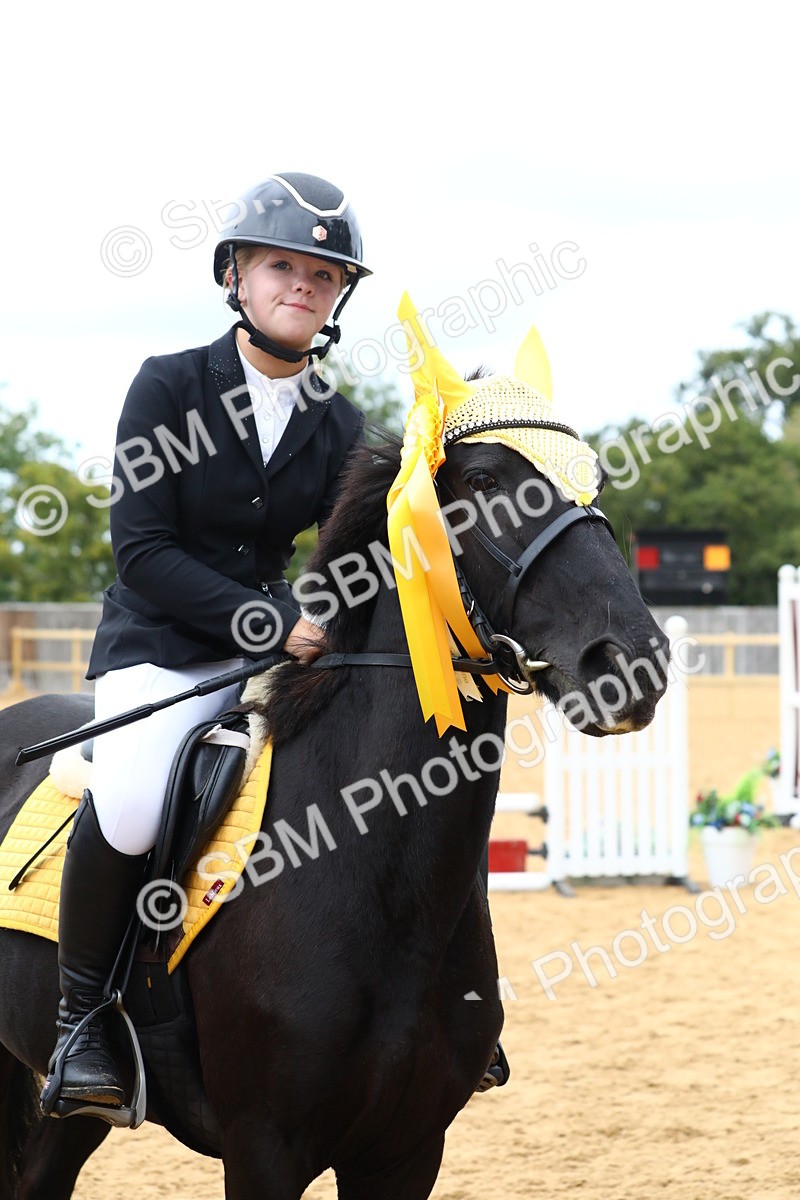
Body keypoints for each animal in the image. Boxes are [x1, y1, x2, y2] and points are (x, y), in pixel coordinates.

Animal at [0, 430, 669, 1199]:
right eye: (484, 480)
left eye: (594, 483)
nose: (632, 660)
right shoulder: (263, 1146)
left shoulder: (408, 1151)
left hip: (72, 1116)